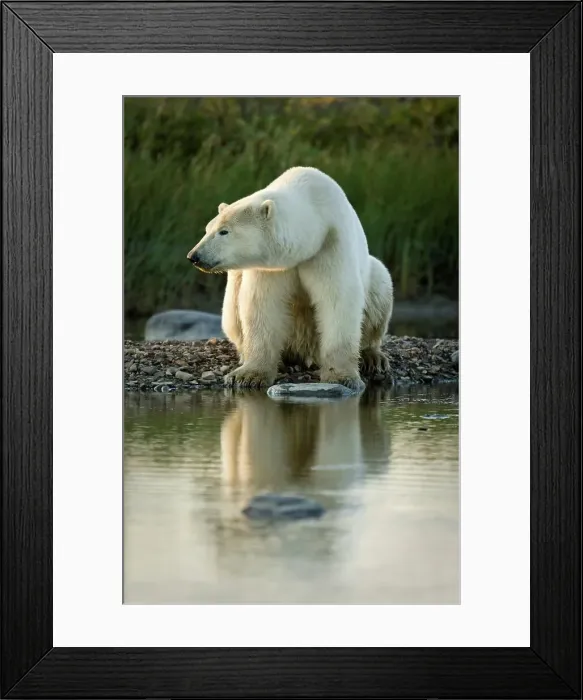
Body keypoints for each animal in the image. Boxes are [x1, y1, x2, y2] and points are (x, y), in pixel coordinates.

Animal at [187, 166, 394, 390]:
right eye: (207, 229)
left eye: (224, 231)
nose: (194, 256)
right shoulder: (271, 267)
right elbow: (262, 305)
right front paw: (248, 376)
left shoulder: (331, 243)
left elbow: (338, 300)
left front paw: (342, 377)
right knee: (233, 311)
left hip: (372, 279)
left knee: (380, 286)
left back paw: (372, 357)